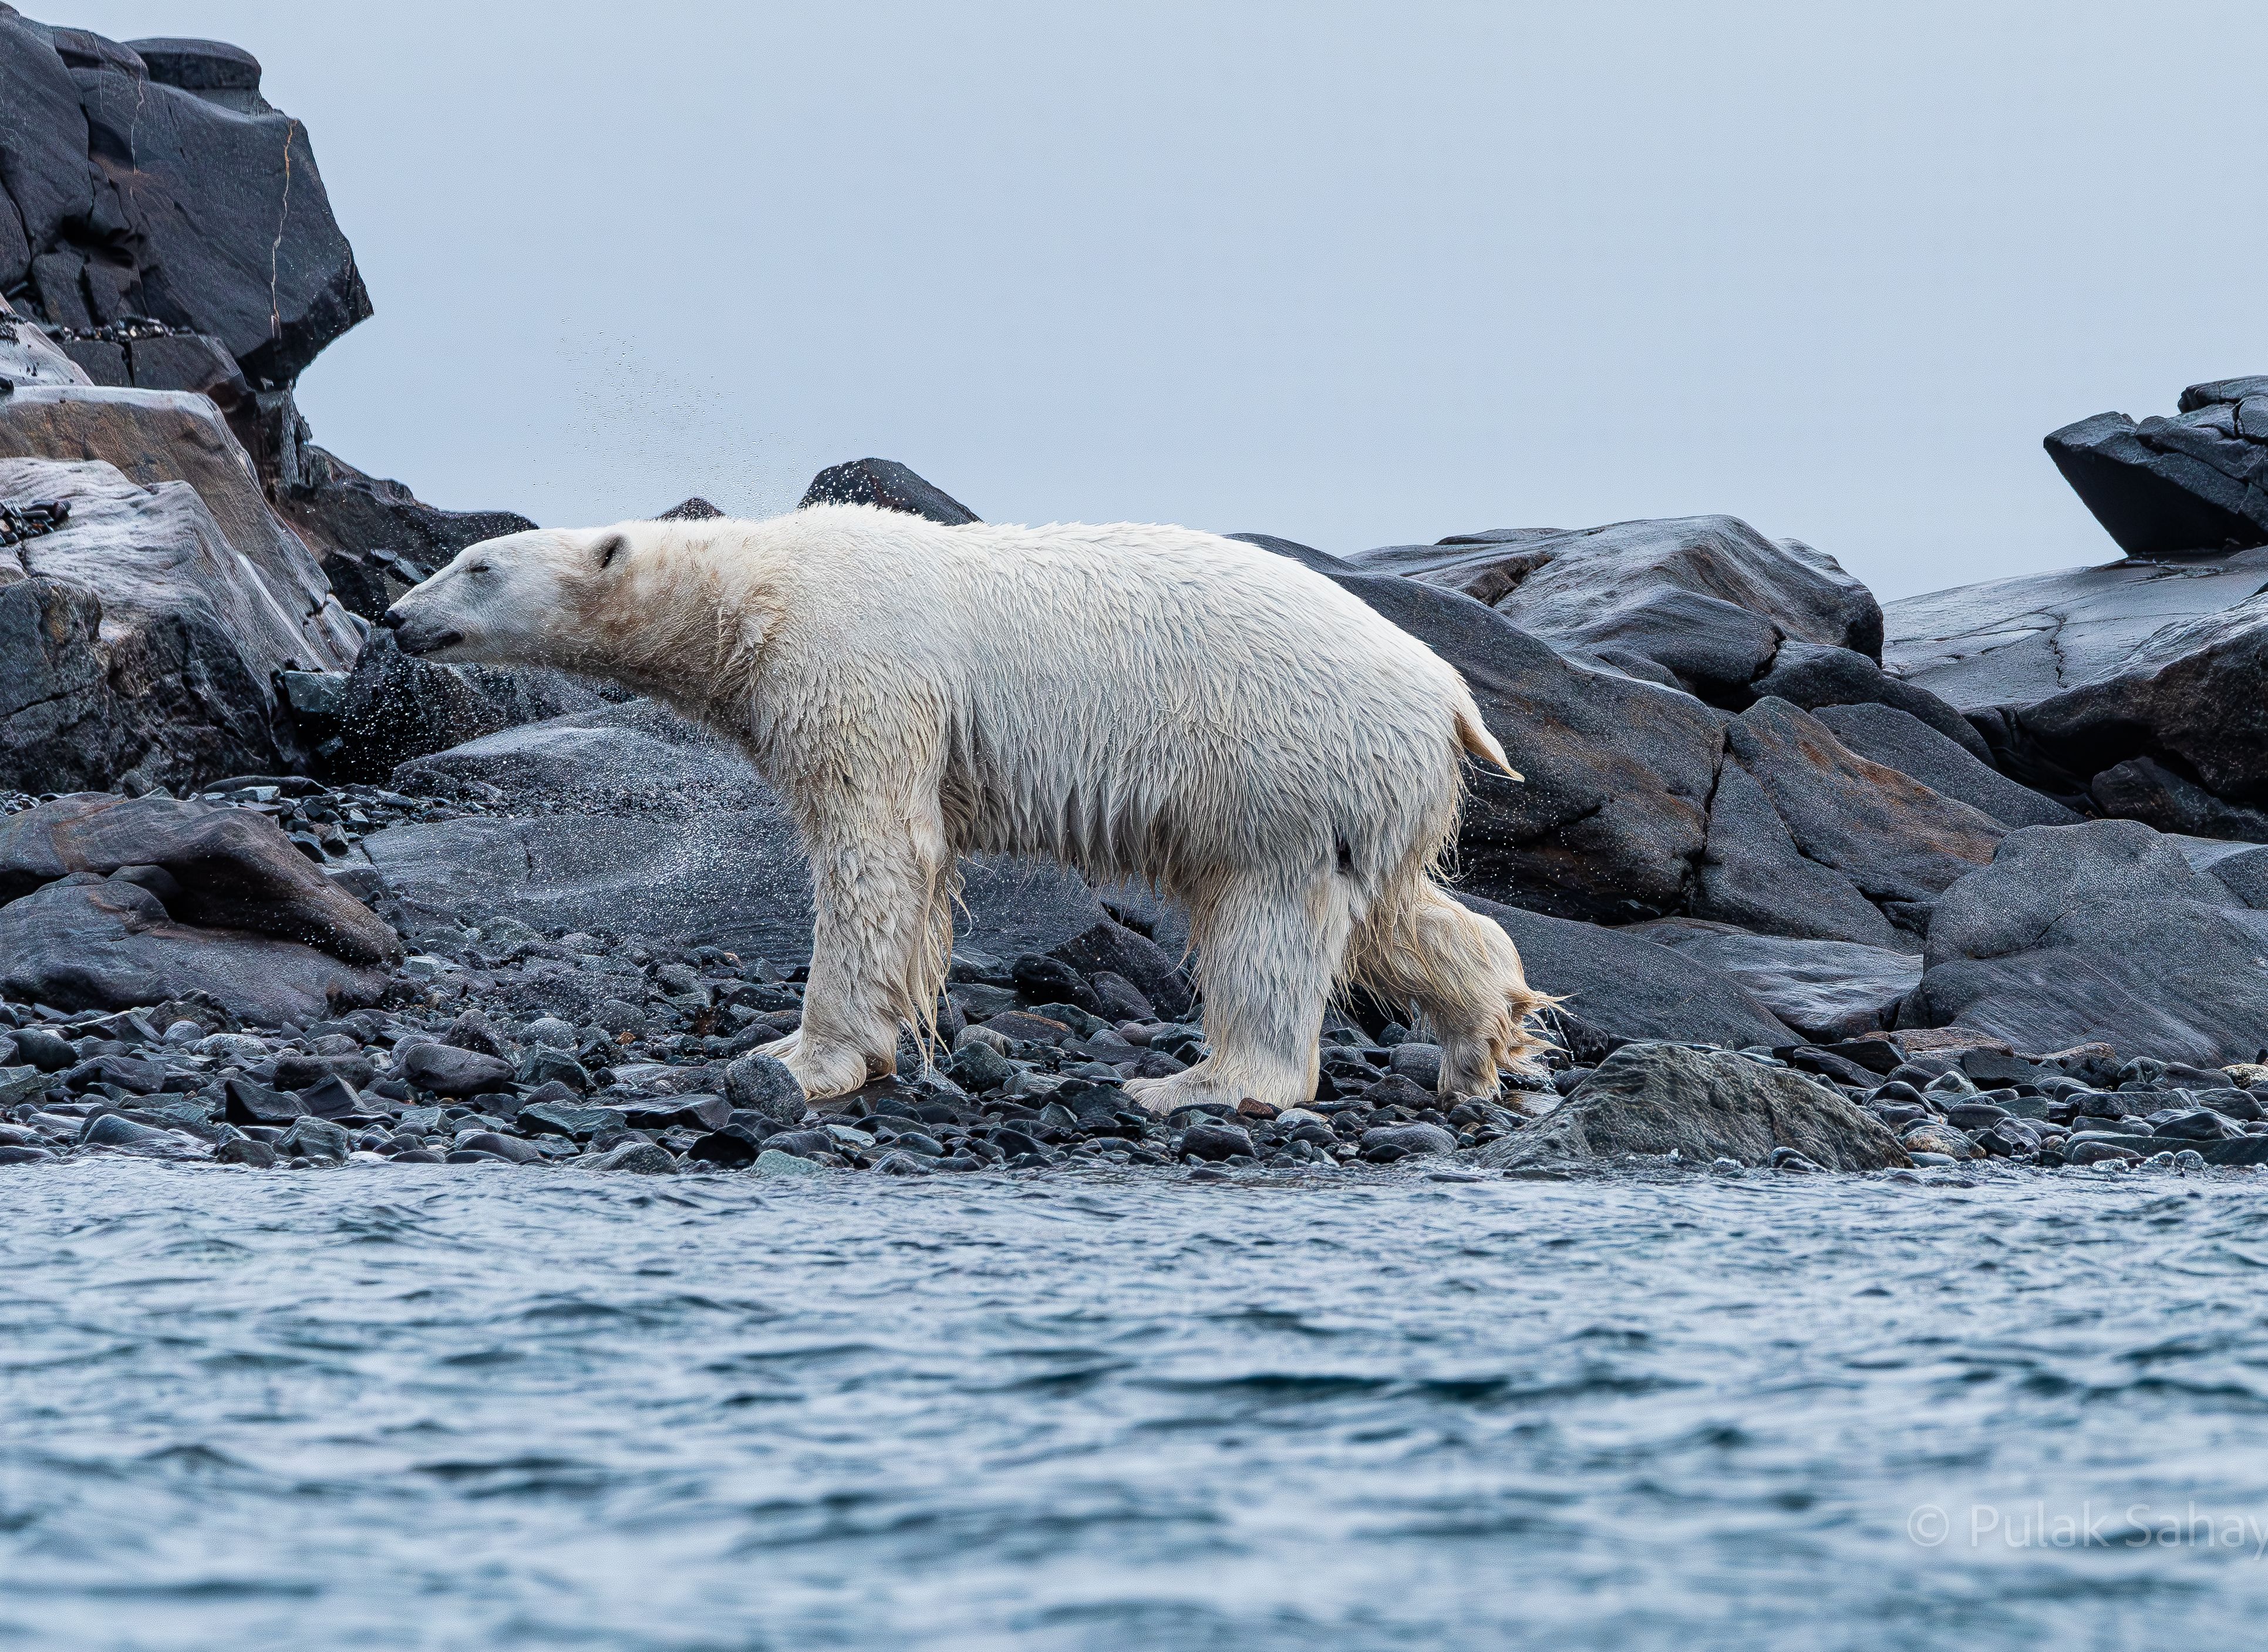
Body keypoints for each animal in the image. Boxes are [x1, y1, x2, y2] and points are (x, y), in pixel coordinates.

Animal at [381, 505, 1552, 1111]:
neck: (757, 585)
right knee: (1395, 914)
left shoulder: (855, 663)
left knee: (1264, 919)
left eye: (476, 565)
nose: (393, 616)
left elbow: (875, 849)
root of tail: (1449, 696)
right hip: (1356, 789)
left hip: (1280, 759)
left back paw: (1203, 1084)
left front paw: (803, 1058)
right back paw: (1480, 1041)